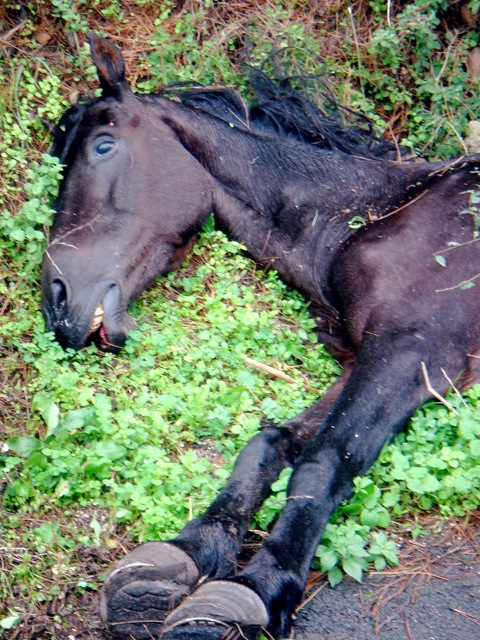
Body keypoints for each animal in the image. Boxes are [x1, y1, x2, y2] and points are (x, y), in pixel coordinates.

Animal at [42, 36, 480, 640]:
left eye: (104, 146)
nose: (54, 301)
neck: (375, 217)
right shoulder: (364, 358)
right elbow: (268, 445)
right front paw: (189, 551)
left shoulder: (413, 352)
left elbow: (323, 462)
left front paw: (257, 587)